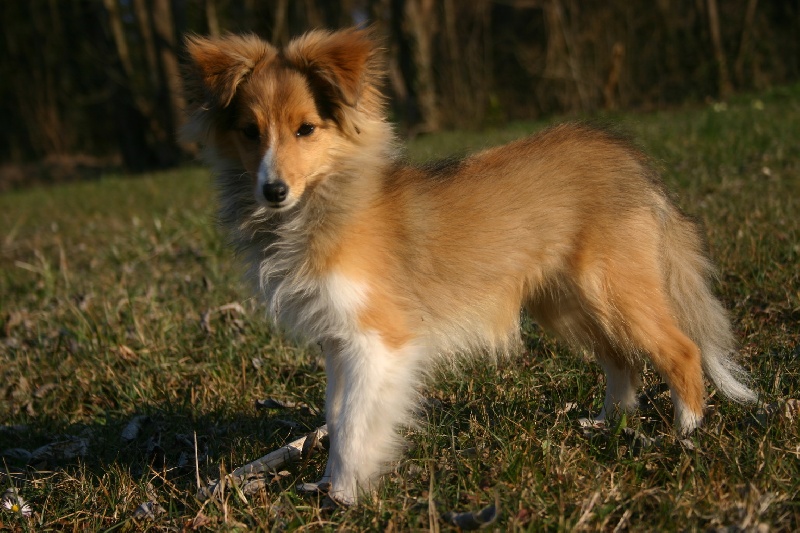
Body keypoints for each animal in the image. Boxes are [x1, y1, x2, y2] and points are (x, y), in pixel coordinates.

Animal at [181, 28, 756, 502]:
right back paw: (606, 424)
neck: (325, 204)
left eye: (306, 129)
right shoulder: (338, 342)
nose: (273, 190)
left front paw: (342, 495)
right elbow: (338, 415)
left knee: (681, 350)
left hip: (613, 288)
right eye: (250, 132)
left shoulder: (378, 340)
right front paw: (327, 485)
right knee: (621, 361)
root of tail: (630, 158)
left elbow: (355, 426)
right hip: (567, 304)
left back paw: (685, 435)